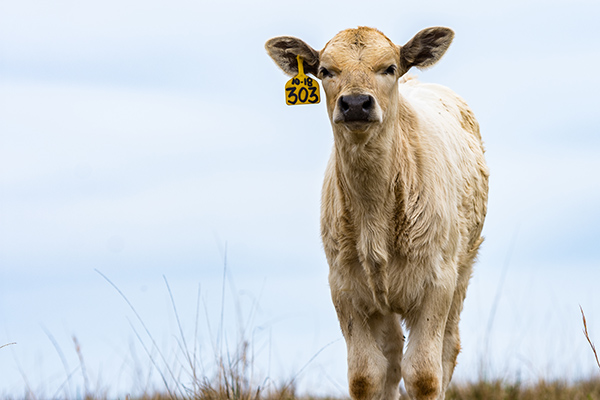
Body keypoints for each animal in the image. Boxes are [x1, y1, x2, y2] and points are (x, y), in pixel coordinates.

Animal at [266, 26, 488, 398]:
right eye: (325, 70)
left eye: (389, 68)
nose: (356, 103)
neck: (374, 214)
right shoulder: (345, 288)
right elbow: (365, 374)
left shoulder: (436, 283)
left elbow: (424, 374)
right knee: (393, 355)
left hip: (462, 270)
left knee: (446, 349)